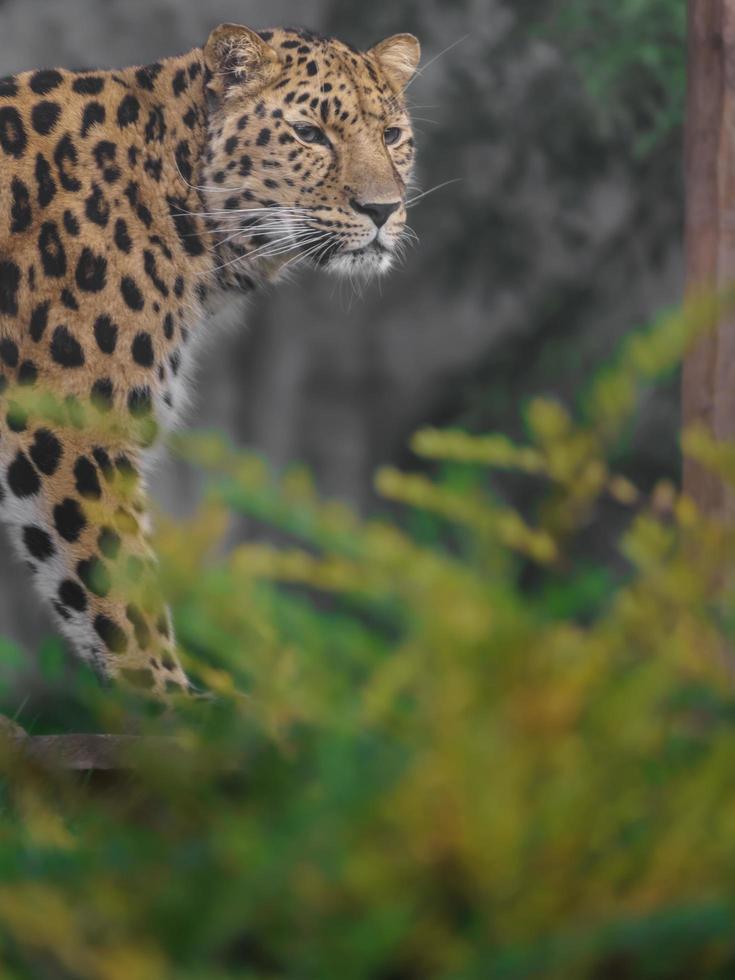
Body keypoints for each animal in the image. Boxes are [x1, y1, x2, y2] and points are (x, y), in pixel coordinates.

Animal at [0, 23, 420, 696]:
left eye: (392, 135)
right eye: (310, 134)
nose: (383, 210)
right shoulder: (74, 426)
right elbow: (118, 592)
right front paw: (173, 703)